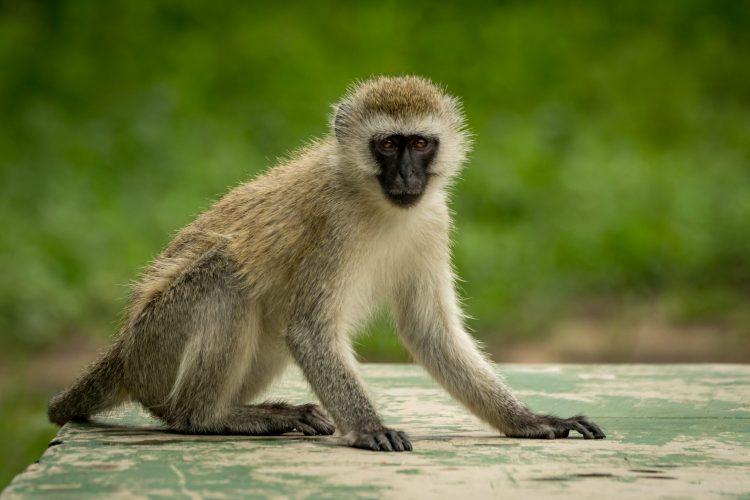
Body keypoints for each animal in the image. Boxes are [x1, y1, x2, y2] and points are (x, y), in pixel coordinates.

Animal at [48, 75, 604, 454]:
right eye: (388, 144)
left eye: (420, 143)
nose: (406, 176)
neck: (375, 201)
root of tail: (124, 351)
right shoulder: (331, 224)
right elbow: (311, 331)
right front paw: (369, 427)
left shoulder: (433, 221)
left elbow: (430, 332)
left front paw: (531, 421)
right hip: (158, 347)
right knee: (226, 280)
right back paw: (208, 417)